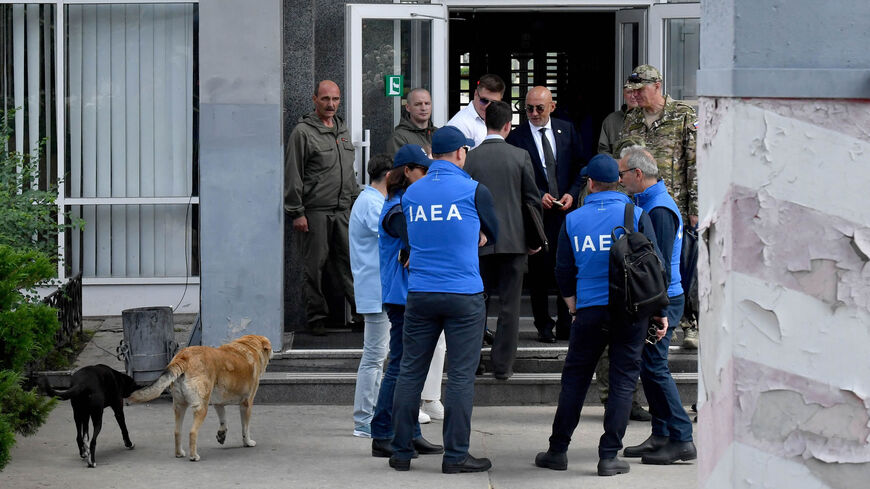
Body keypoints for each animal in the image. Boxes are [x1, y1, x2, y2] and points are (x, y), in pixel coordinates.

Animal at [129, 334, 272, 460]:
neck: (248, 346)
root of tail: (184, 356)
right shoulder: (246, 404)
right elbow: (245, 428)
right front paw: (247, 442)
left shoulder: (218, 404)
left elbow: (223, 421)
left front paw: (222, 435)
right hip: (201, 407)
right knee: (192, 432)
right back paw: (194, 456)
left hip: (179, 406)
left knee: (177, 432)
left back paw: (179, 453)